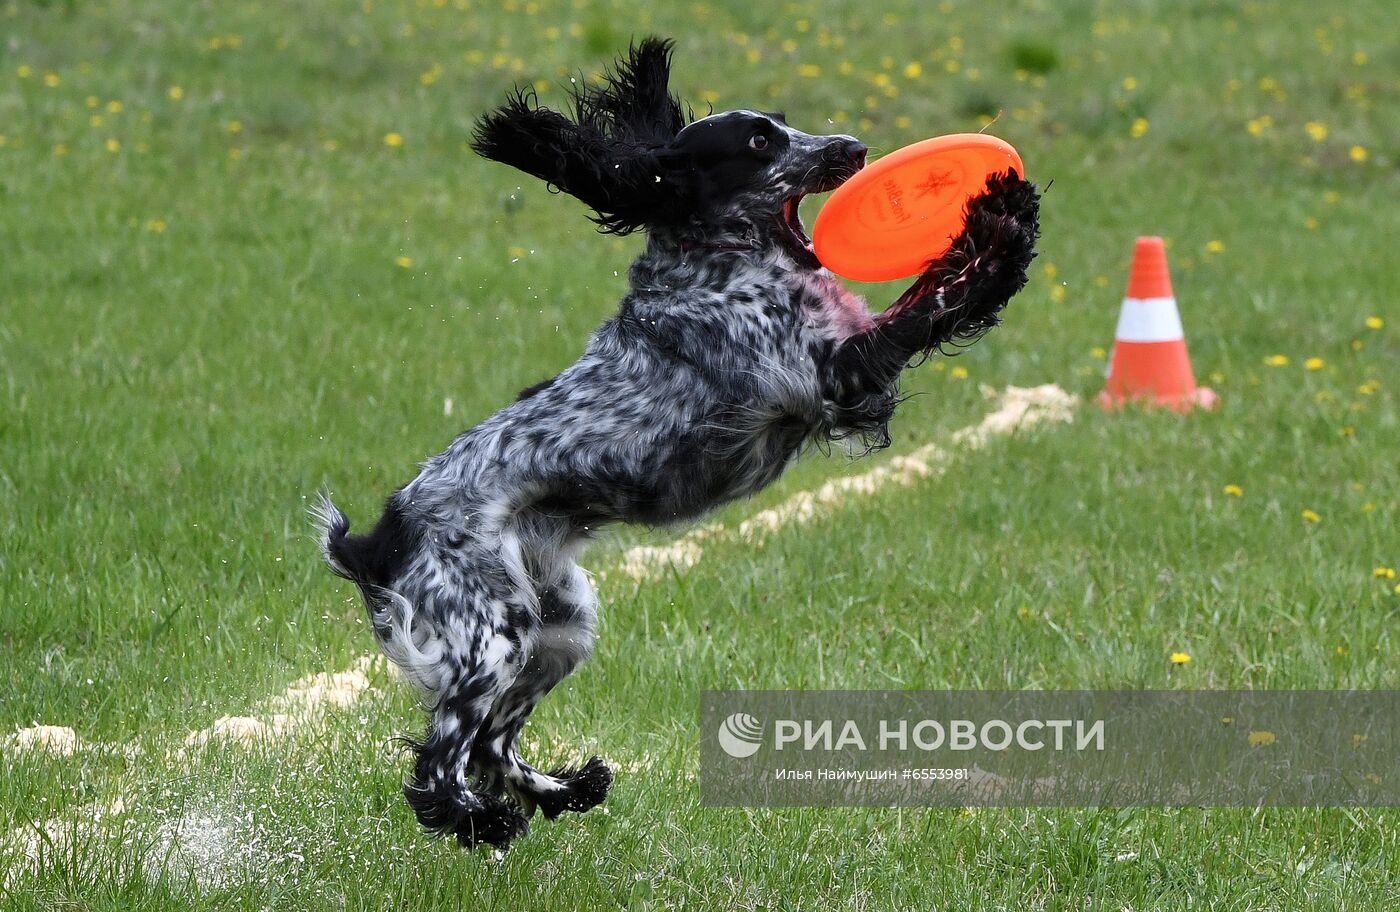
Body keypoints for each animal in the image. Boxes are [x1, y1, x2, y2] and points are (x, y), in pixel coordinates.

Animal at [317, 35, 1041, 851]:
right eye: (759, 143)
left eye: (784, 124)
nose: (852, 148)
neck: (723, 262)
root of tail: (376, 543)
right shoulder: (839, 374)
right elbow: (936, 297)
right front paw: (998, 220)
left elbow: (943, 297)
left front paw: (1012, 215)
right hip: (492, 633)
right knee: (440, 764)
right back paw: (485, 821)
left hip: (560, 627)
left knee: (493, 746)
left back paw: (566, 789)